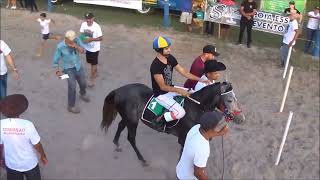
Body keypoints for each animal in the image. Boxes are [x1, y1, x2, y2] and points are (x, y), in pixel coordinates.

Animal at [101, 81, 244, 166]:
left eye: (236, 98)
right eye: (230, 100)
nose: (241, 118)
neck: (195, 108)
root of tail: (119, 90)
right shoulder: (184, 138)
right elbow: (183, 156)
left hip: (128, 118)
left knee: (120, 126)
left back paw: (116, 143)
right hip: (132, 121)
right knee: (131, 138)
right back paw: (142, 159)